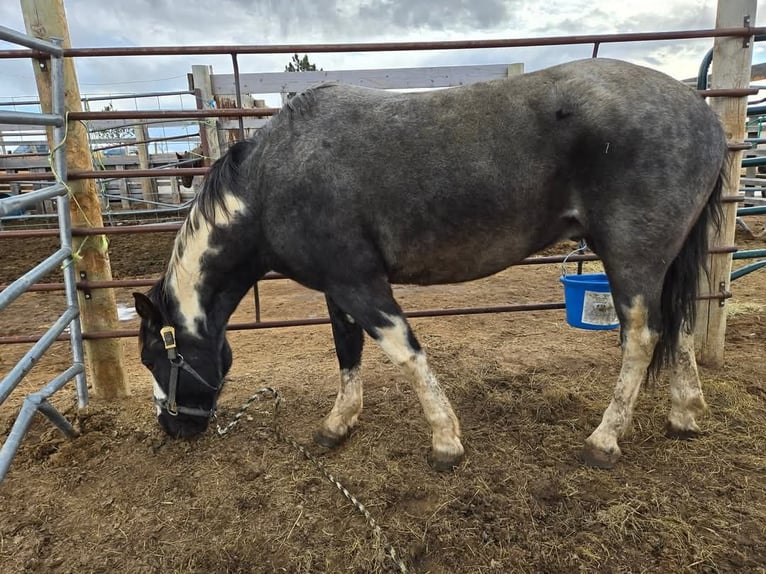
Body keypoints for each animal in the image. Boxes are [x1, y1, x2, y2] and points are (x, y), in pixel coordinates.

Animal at [132, 58, 728, 472]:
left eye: (154, 359)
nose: (171, 428)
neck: (271, 182)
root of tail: (703, 113)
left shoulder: (361, 283)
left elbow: (405, 352)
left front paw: (445, 441)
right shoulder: (336, 288)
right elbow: (347, 353)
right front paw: (337, 425)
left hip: (631, 256)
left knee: (643, 336)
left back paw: (604, 440)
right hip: (659, 260)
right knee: (677, 324)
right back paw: (685, 412)